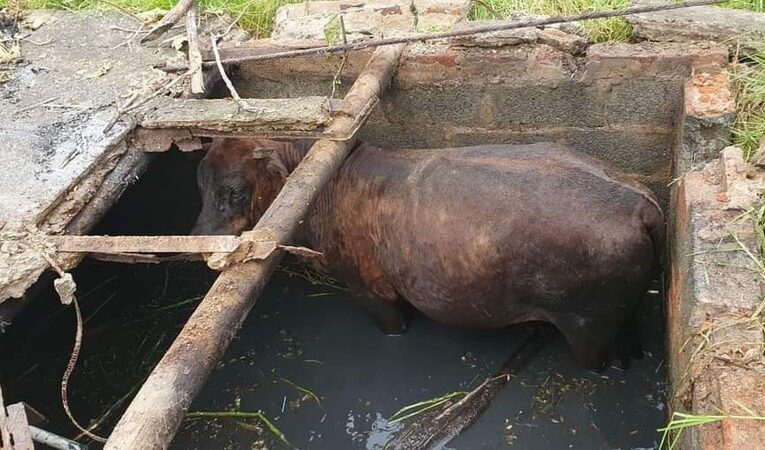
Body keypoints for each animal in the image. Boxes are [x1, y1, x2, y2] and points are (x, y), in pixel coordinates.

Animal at [192, 137, 664, 370]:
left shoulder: (366, 287)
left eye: (232, 190)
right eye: (200, 183)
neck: (323, 186)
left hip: (587, 325)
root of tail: (635, 203)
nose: (198, 239)